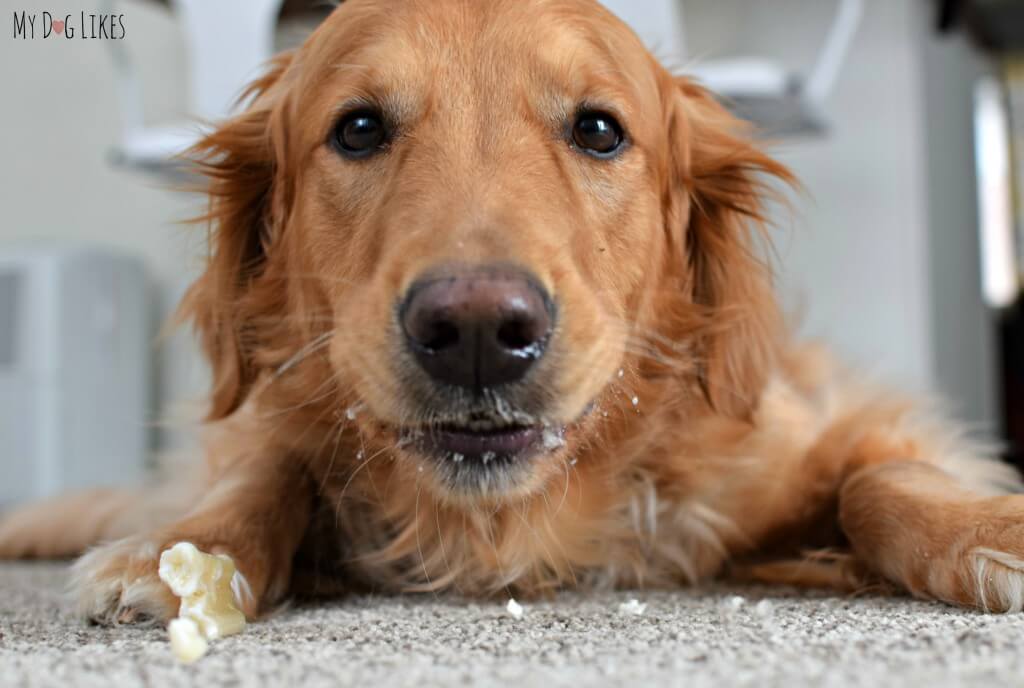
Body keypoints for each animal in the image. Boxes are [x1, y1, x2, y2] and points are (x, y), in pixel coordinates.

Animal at [2, 0, 1024, 622]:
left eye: (600, 129)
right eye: (359, 127)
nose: (478, 334)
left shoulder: (814, 433)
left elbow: (878, 478)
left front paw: (987, 529)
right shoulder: (270, 429)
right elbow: (265, 471)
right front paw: (188, 549)